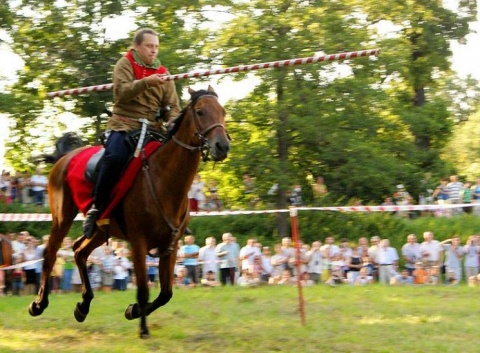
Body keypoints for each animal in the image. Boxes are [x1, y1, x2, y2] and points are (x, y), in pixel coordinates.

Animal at [28, 86, 231, 336]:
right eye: (201, 112)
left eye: (222, 111)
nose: (222, 146)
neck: (162, 179)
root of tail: (66, 157)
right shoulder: (138, 243)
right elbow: (143, 289)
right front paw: (142, 328)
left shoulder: (170, 246)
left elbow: (166, 293)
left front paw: (133, 311)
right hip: (62, 218)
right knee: (50, 254)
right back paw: (38, 304)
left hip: (101, 229)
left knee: (79, 251)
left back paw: (83, 306)